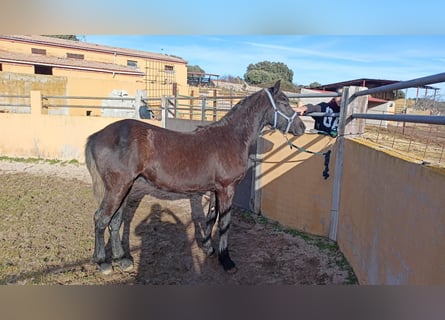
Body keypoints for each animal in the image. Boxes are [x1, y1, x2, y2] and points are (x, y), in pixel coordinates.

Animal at [84, 80, 306, 276]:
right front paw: (226, 261)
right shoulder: (227, 189)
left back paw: (122, 260)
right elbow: (224, 223)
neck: (231, 137)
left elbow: (211, 218)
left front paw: (208, 249)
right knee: (101, 219)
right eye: (284, 102)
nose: (302, 128)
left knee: (115, 220)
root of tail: (97, 135)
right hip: (117, 188)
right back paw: (103, 263)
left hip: (126, 187)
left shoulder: (216, 189)